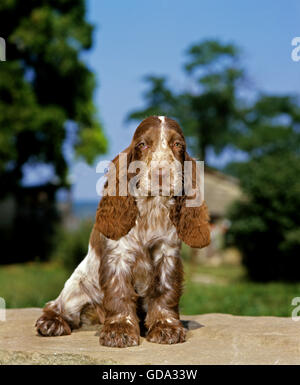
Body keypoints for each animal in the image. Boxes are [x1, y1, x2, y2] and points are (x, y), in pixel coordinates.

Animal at [35, 115, 211, 346]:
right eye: (142, 144)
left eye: (178, 144)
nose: (161, 175)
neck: (151, 208)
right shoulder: (117, 256)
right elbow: (119, 294)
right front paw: (119, 330)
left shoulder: (168, 254)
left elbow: (165, 292)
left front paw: (166, 327)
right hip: (76, 287)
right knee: (57, 306)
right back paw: (52, 322)